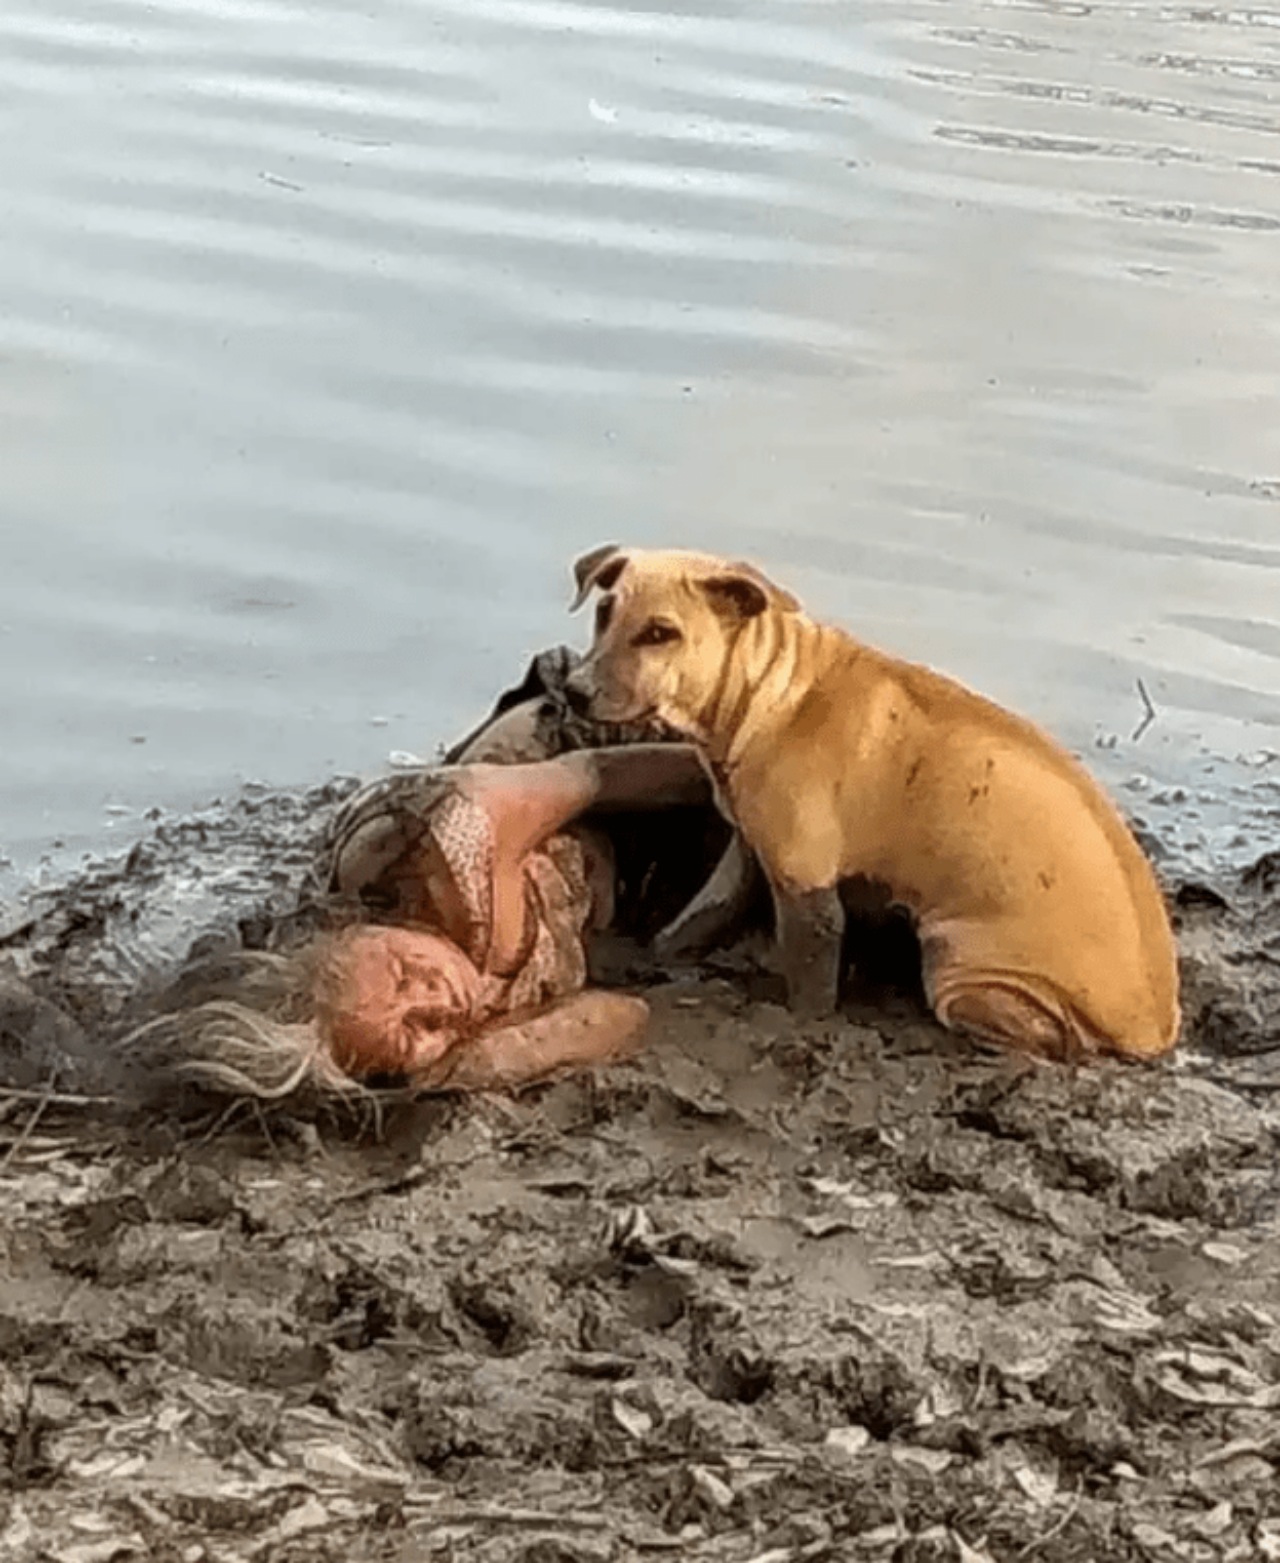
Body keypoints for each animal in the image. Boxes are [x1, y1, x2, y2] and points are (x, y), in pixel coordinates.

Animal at [562, 547, 1181, 1062]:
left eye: (660, 633)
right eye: (604, 612)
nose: (573, 690)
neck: (774, 693)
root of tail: (1155, 1028)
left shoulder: (807, 888)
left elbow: (810, 983)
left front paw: (798, 1023)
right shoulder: (748, 851)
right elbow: (697, 918)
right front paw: (652, 956)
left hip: (962, 967)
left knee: (1053, 1037)